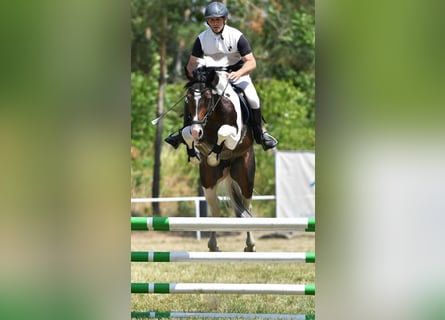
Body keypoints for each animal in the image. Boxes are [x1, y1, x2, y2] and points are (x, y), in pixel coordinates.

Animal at [180, 67, 255, 252]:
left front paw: (214, 155)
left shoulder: (235, 137)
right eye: (188, 98)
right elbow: (185, 133)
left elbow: (223, 132)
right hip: (208, 182)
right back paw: (213, 245)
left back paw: (250, 245)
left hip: (245, 179)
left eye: (207, 98)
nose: (196, 131)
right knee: (215, 210)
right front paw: (194, 154)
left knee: (247, 207)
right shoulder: (194, 129)